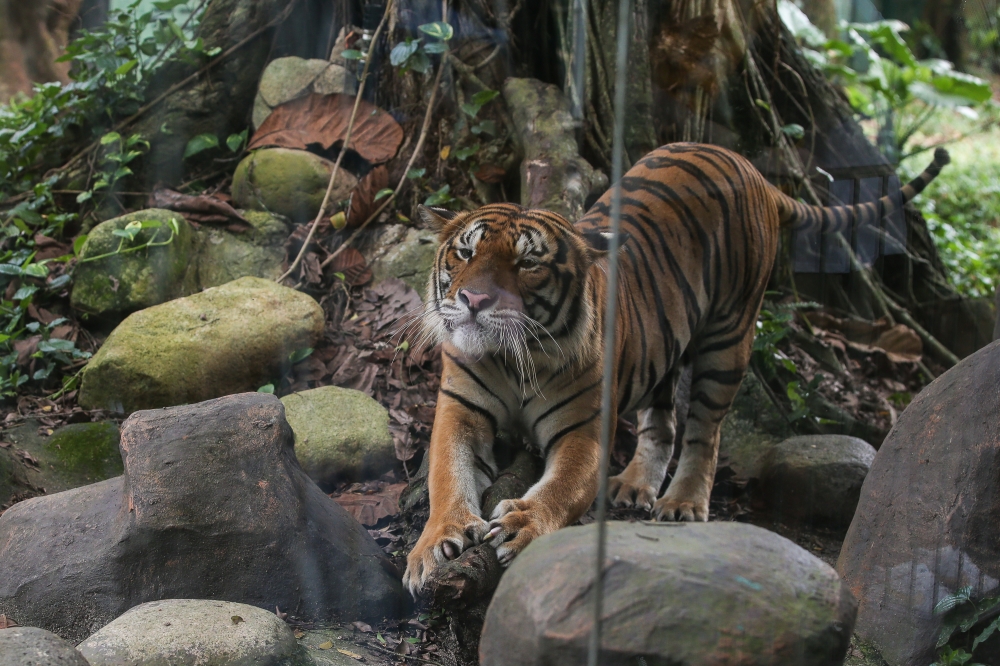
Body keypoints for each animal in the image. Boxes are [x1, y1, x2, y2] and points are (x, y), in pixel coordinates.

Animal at [402, 142, 949, 595]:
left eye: (528, 264)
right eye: (465, 252)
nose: (474, 300)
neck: (511, 359)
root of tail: (749, 165)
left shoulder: (584, 432)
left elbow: (562, 487)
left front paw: (523, 523)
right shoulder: (459, 411)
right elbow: (446, 476)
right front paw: (432, 547)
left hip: (728, 339)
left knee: (705, 432)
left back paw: (683, 503)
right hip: (661, 348)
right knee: (661, 423)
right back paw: (634, 486)